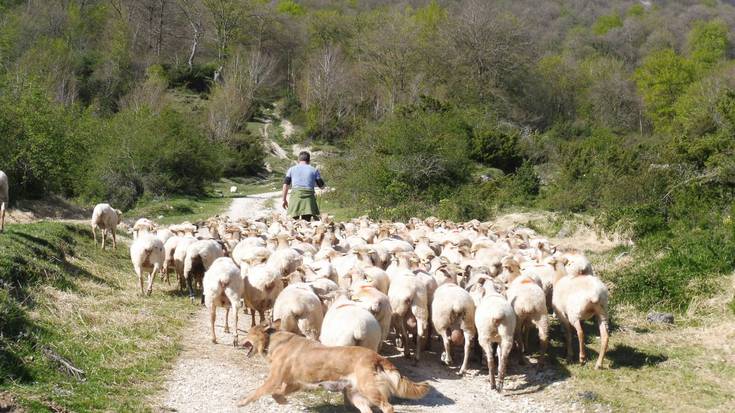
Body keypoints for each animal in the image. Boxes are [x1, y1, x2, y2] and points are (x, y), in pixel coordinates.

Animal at [240, 318, 432, 412]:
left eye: (247, 333)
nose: (240, 341)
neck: (273, 340)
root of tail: (377, 356)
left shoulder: (274, 379)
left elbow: (258, 392)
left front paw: (242, 402)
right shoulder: (295, 383)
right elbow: (277, 394)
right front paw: (282, 400)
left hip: (370, 390)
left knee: (388, 407)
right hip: (356, 395)